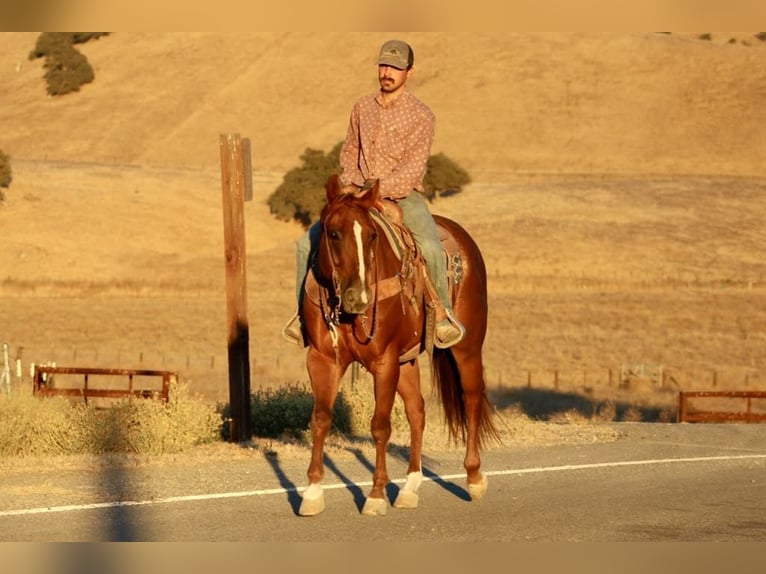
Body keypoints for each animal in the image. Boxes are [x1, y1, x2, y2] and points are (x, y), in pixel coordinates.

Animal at [298, 173, 498, 516]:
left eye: (372, 236)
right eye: (333, 233)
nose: (358, 297)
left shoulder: (384, 361)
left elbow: (380, 425)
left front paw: (376, 495)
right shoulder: (324, 359)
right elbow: (321, 418)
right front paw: (311, 492)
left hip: (467, 348)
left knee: (471, 398)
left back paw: (473, 478)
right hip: (407, 361)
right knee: (417, 410)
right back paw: (409, 487)